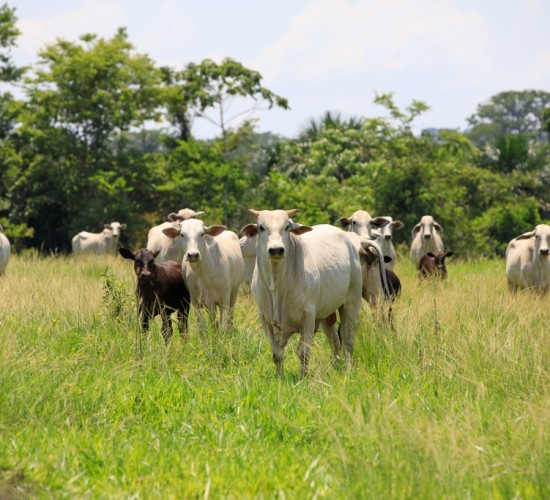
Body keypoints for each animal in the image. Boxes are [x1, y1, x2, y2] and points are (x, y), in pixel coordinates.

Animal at [243, 209, 364, 376]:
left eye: (287, 227)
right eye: (261, 227)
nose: (276, 250)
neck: (277, 285)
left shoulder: (308, 316)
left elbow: (303, 352)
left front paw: (303, 376)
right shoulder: (265, 319)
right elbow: (277, 354)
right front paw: (280, 376)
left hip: (351, 302)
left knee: (347, 341)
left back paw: (348, 369)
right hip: (326, 313)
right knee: (334, 340)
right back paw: (336, 365)